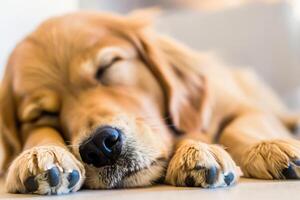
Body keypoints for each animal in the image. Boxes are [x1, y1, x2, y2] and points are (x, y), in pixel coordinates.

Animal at [0, 9, 300, 195]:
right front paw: (42, 154)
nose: (99, 146)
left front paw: (269, 148)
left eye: (106, 67)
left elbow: (240, 126)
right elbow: (38, 136)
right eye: (42, 113)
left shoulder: (241, 106)